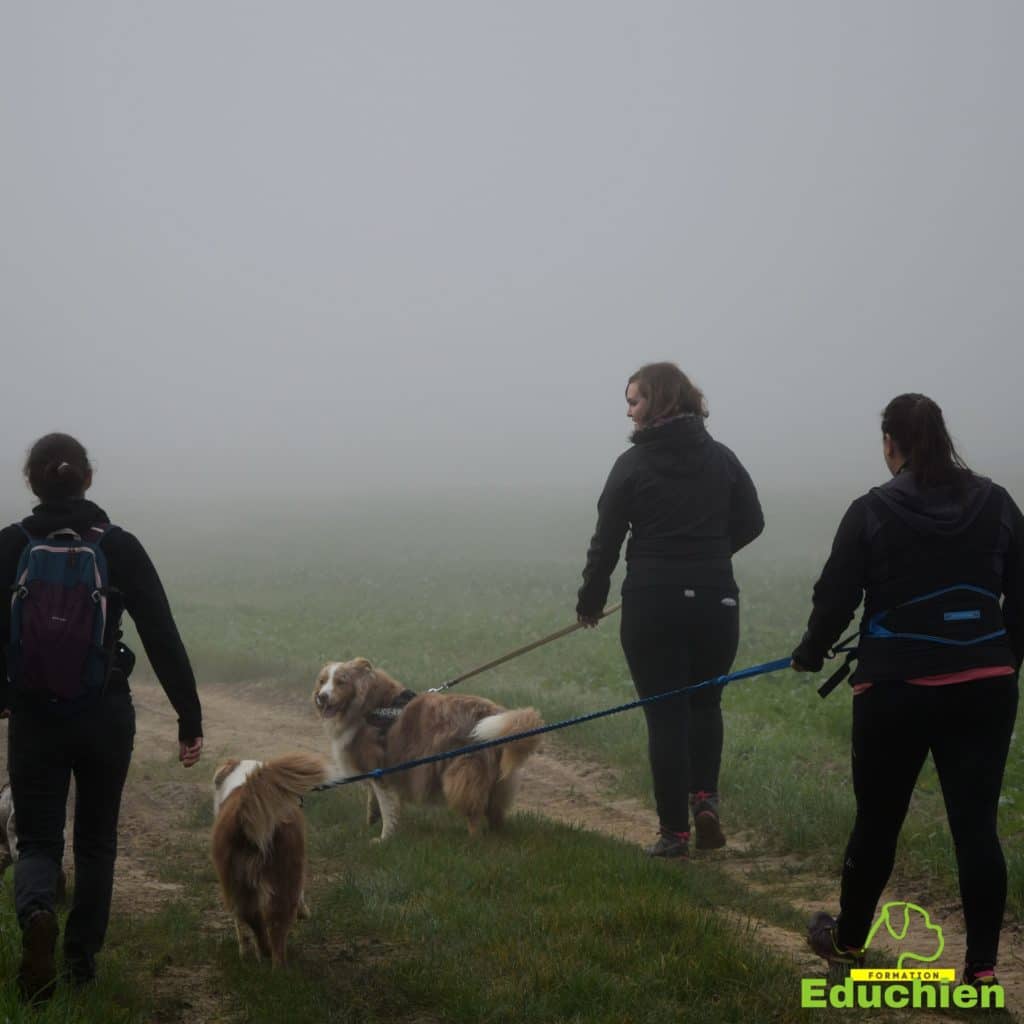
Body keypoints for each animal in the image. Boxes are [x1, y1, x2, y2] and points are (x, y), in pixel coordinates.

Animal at [211, 753, 327, 966]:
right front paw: (304, 912)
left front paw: (245, 952)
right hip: (283, 874)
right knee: (275, 927)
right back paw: (276, 965)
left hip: (238, 881)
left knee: (255, 919)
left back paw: (264, 954)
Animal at [313, 659, 544, 843]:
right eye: (322, 681)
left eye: (341, 681)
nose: (321, 697)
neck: (370, 706)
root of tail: (492, 710)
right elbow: (374, 800)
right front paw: (370, 821)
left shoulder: (382, 770)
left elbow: (388, 808)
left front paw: (384, 838)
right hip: (496, 780)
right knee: (495, 812)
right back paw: (496, 836)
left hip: (462, 773)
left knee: (474, 811)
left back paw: (474, 841)